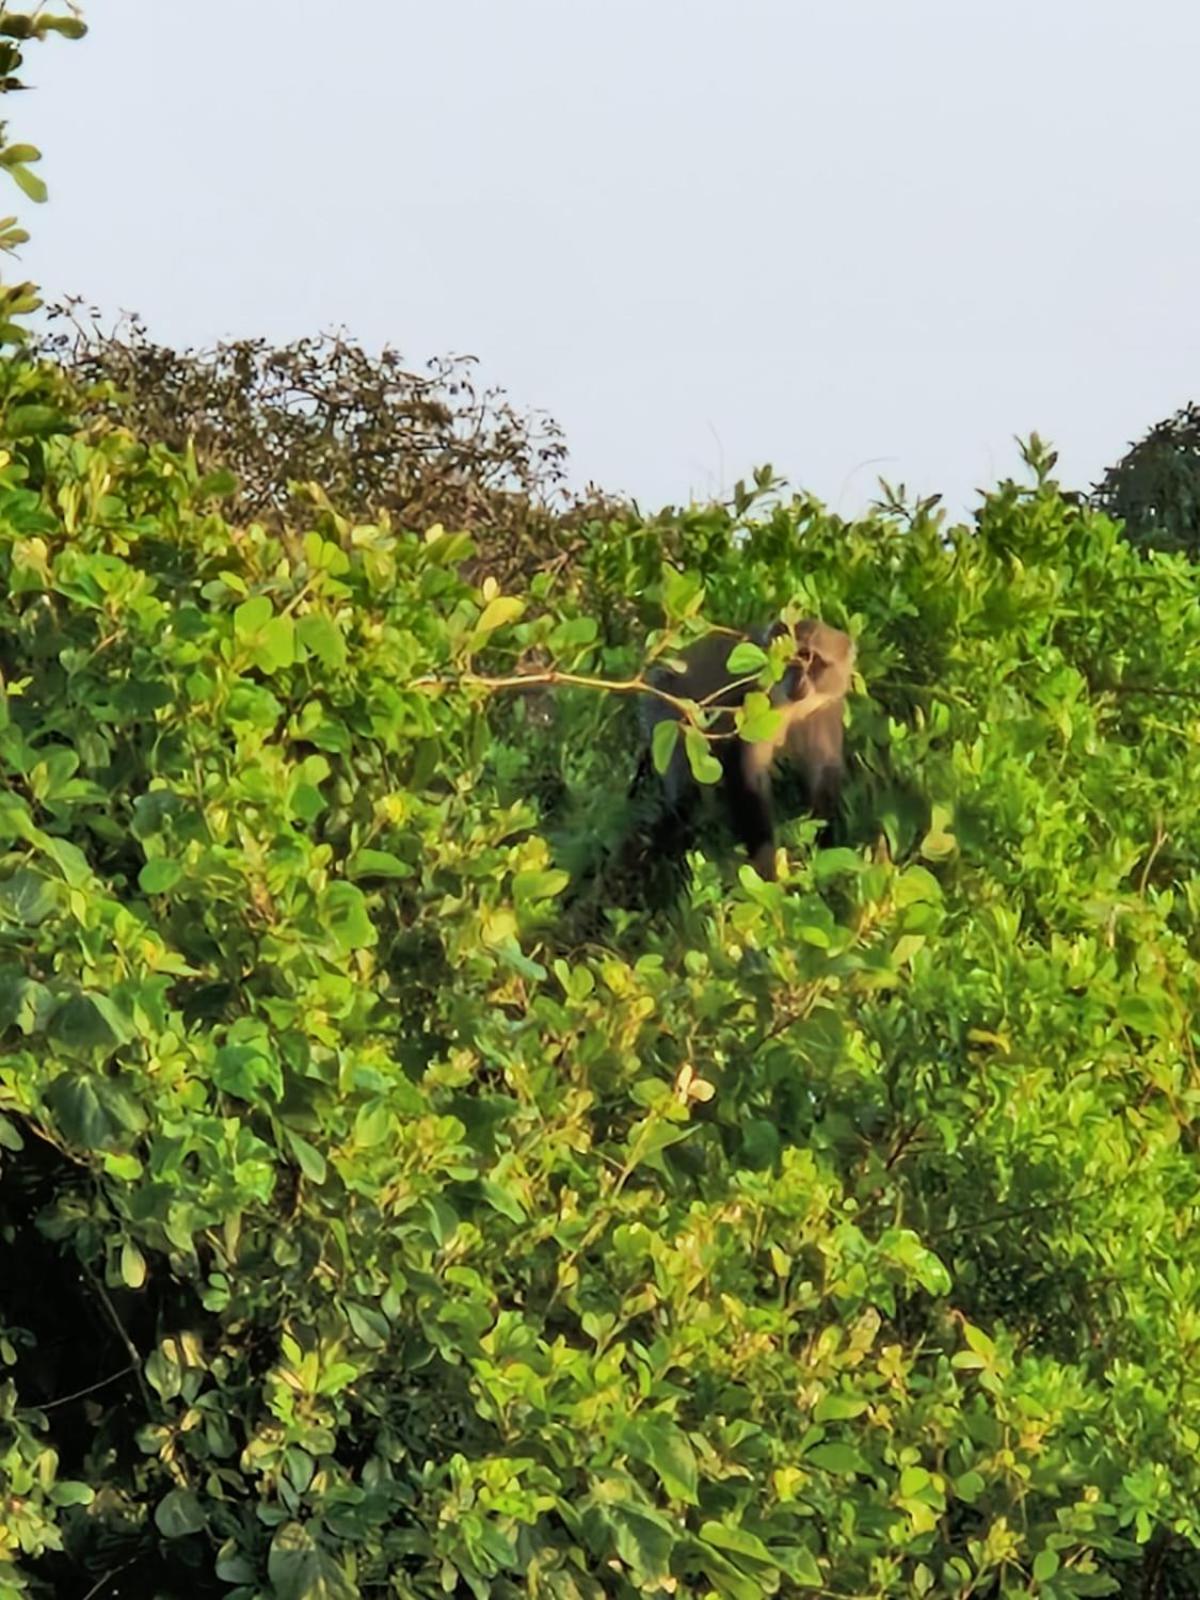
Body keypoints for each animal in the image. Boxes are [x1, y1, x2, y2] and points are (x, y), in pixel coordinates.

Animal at [635, 618, 855, 883]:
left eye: (811, 659)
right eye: (789, 657)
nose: (798, 682)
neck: (794, 709)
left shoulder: (825, 711)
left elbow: (824, 774)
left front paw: (824, 846)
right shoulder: (752, 704)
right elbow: (748, 776)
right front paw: (766, 862)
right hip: (665, 713)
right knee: (685, 794)